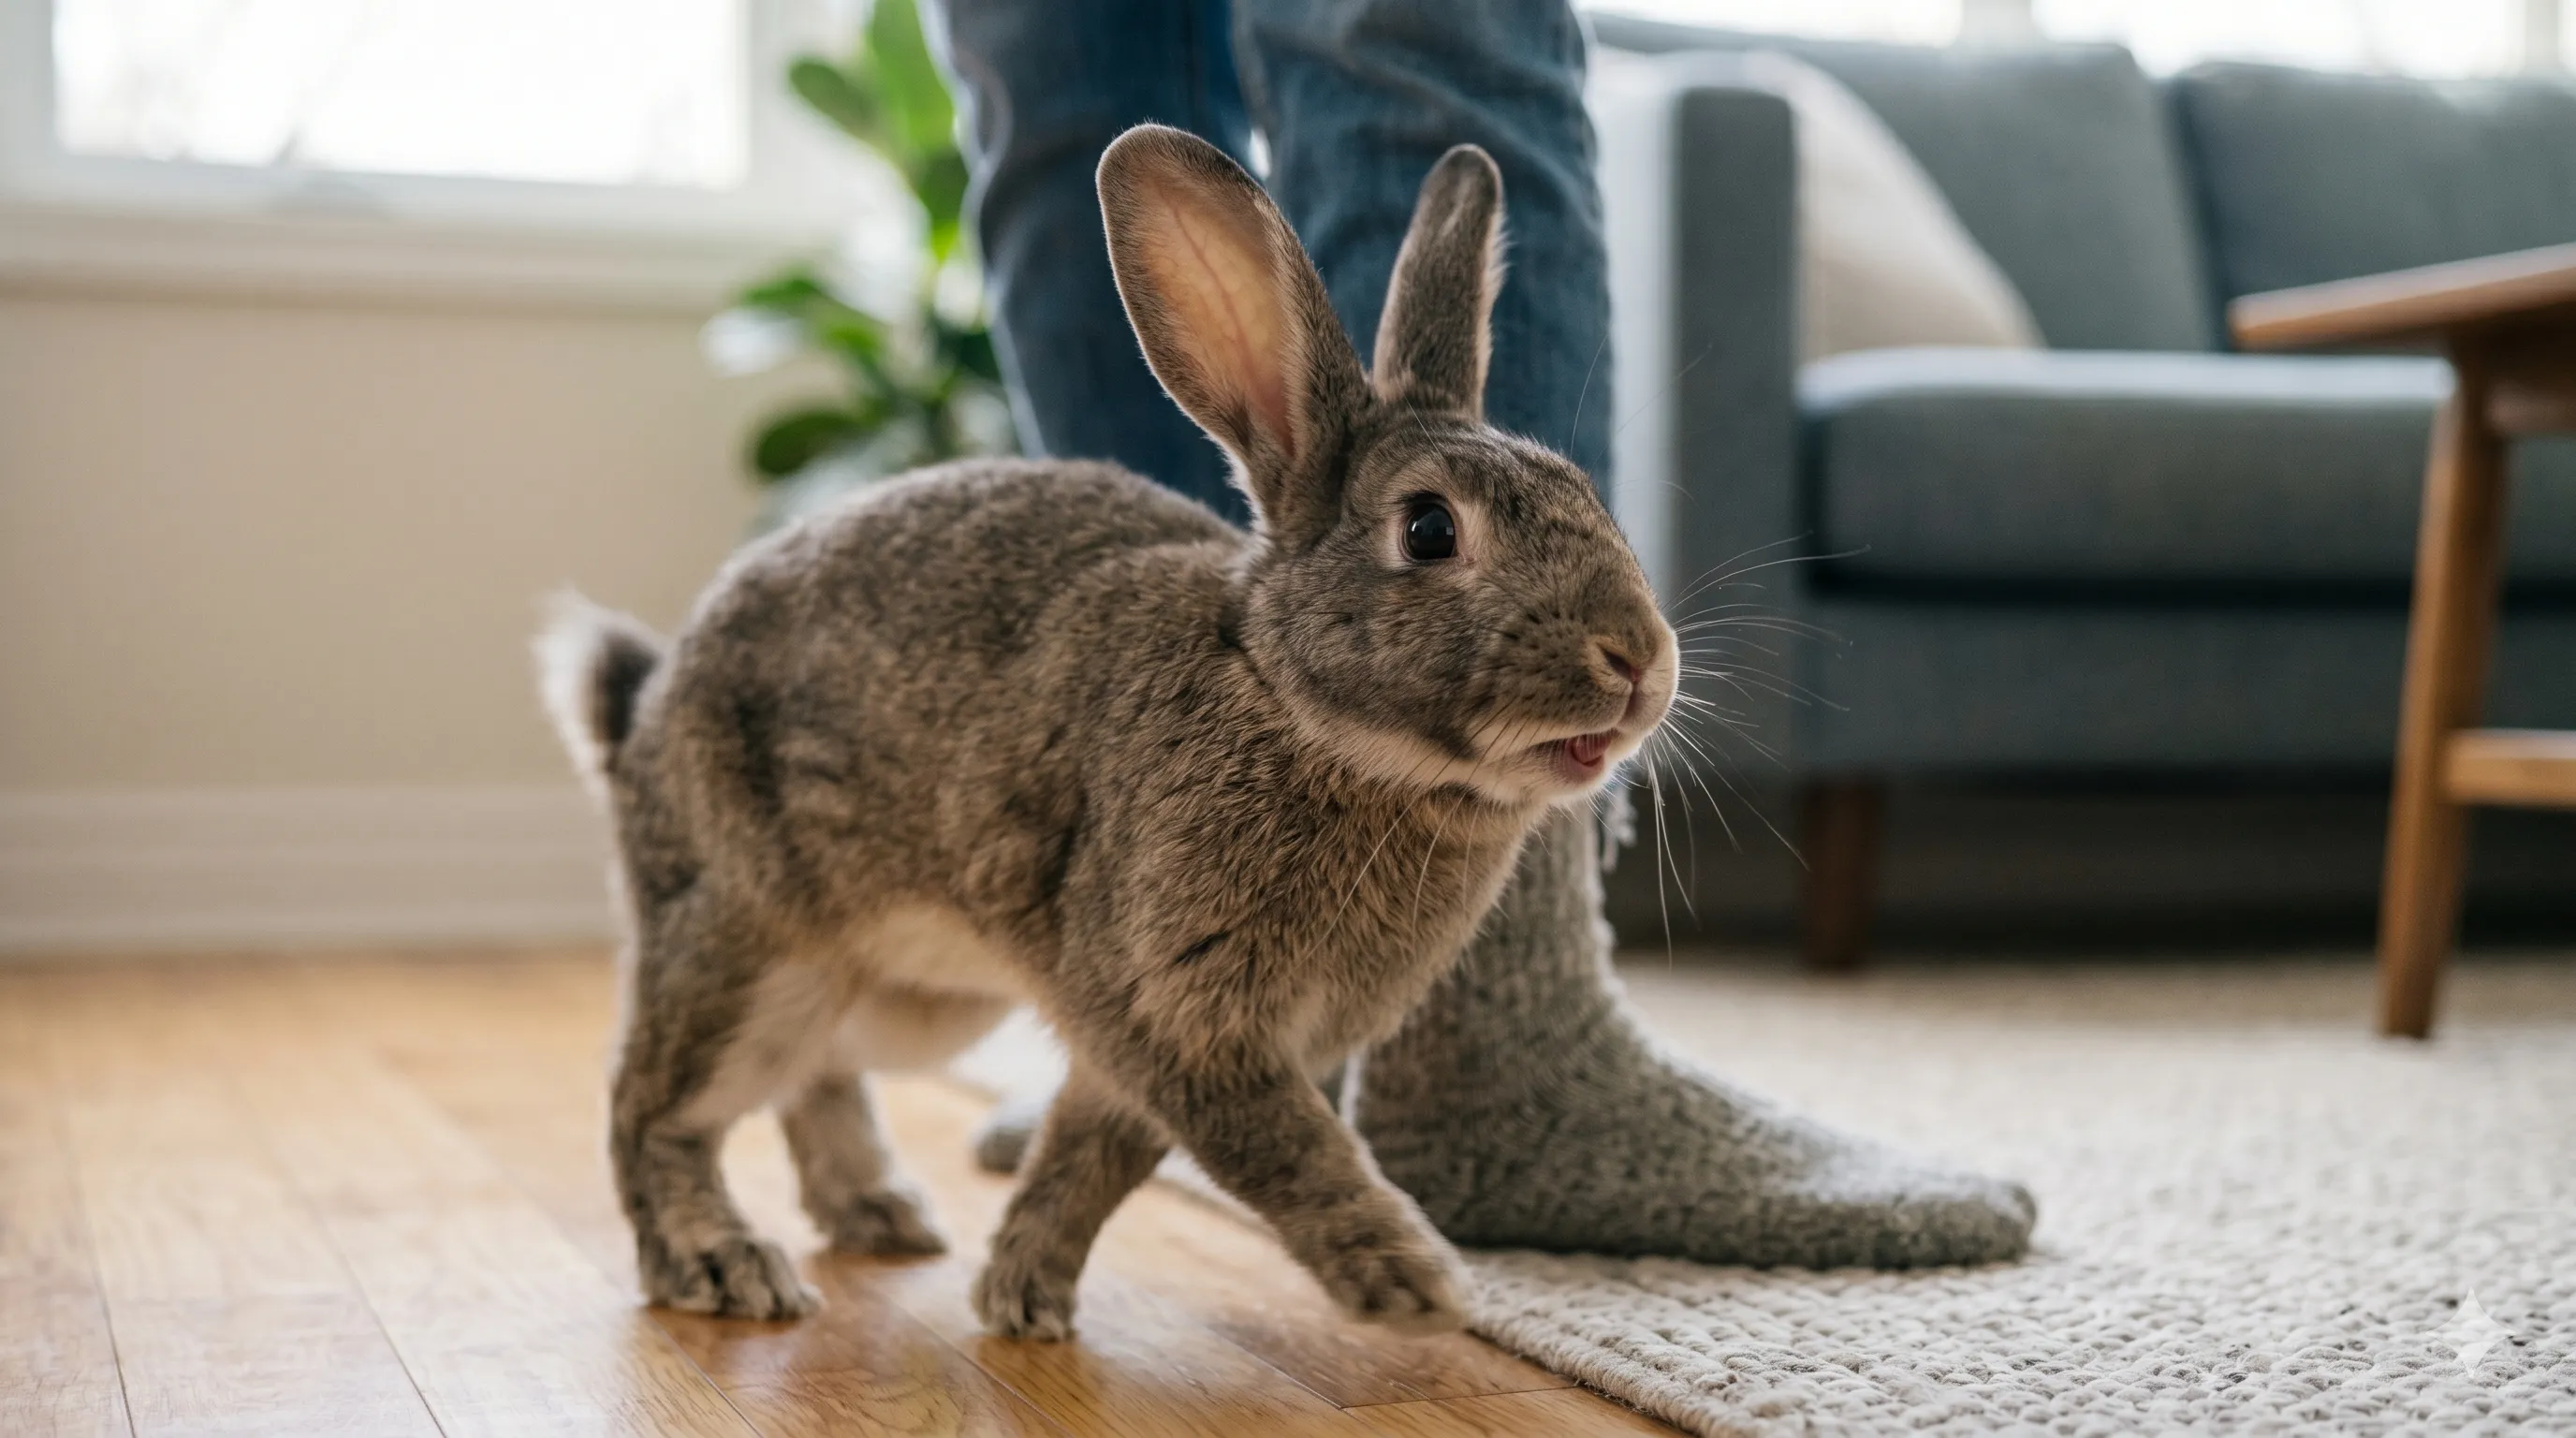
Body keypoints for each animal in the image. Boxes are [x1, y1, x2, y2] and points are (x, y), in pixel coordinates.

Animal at [536, 123, 1675, 1340]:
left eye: (1584, 491)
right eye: (1427, 530)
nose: (1638, 660)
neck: (1294, 711)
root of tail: (639, 721)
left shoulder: (1136, 1042)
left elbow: (1094, 1157)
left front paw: (1021, 1296)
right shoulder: (1174, 1010)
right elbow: (1281, 1151)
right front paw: (1414, 1283)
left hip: (914, 1000)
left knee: (818, 1076)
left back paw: (882, 1214)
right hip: (749, 949)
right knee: (656, 1110)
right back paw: (723, 1265)